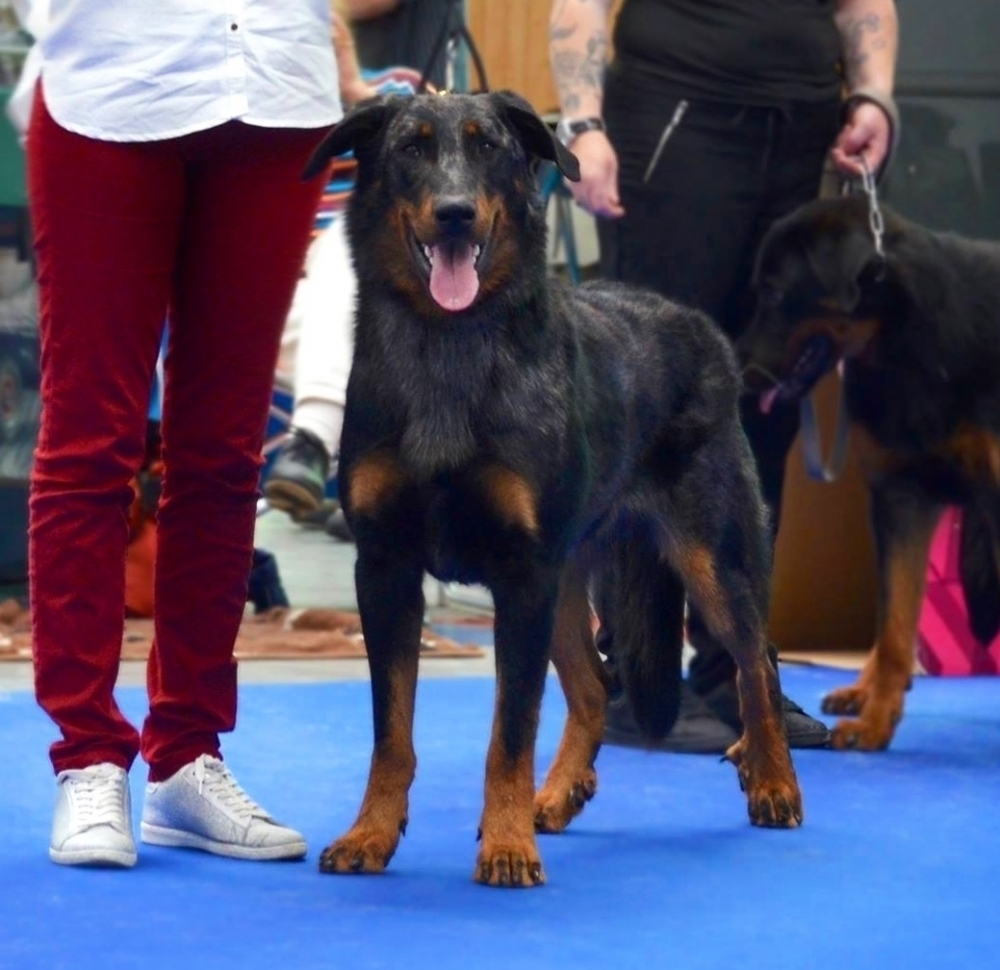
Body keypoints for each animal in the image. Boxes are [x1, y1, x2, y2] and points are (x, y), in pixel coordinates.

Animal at [302, 90, 802, 887]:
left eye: (488, 147)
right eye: (411, 147)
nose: (454, 214)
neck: (450, 346)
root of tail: (700, 328)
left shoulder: (521, 575)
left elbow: (510, 732)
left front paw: (506, 847)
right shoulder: (387, 571)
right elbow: (392, 730)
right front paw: (371, 834)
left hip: (709, 559)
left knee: (759, 660)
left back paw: (774, 781)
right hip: (568, 584)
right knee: (595, 688)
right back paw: (559, 795)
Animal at [741, 194, 1000, 752]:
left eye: (775, 292)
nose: (740, 371)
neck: (906, 338)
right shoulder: (899, 499)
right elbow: (896, 626)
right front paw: (878, 718)